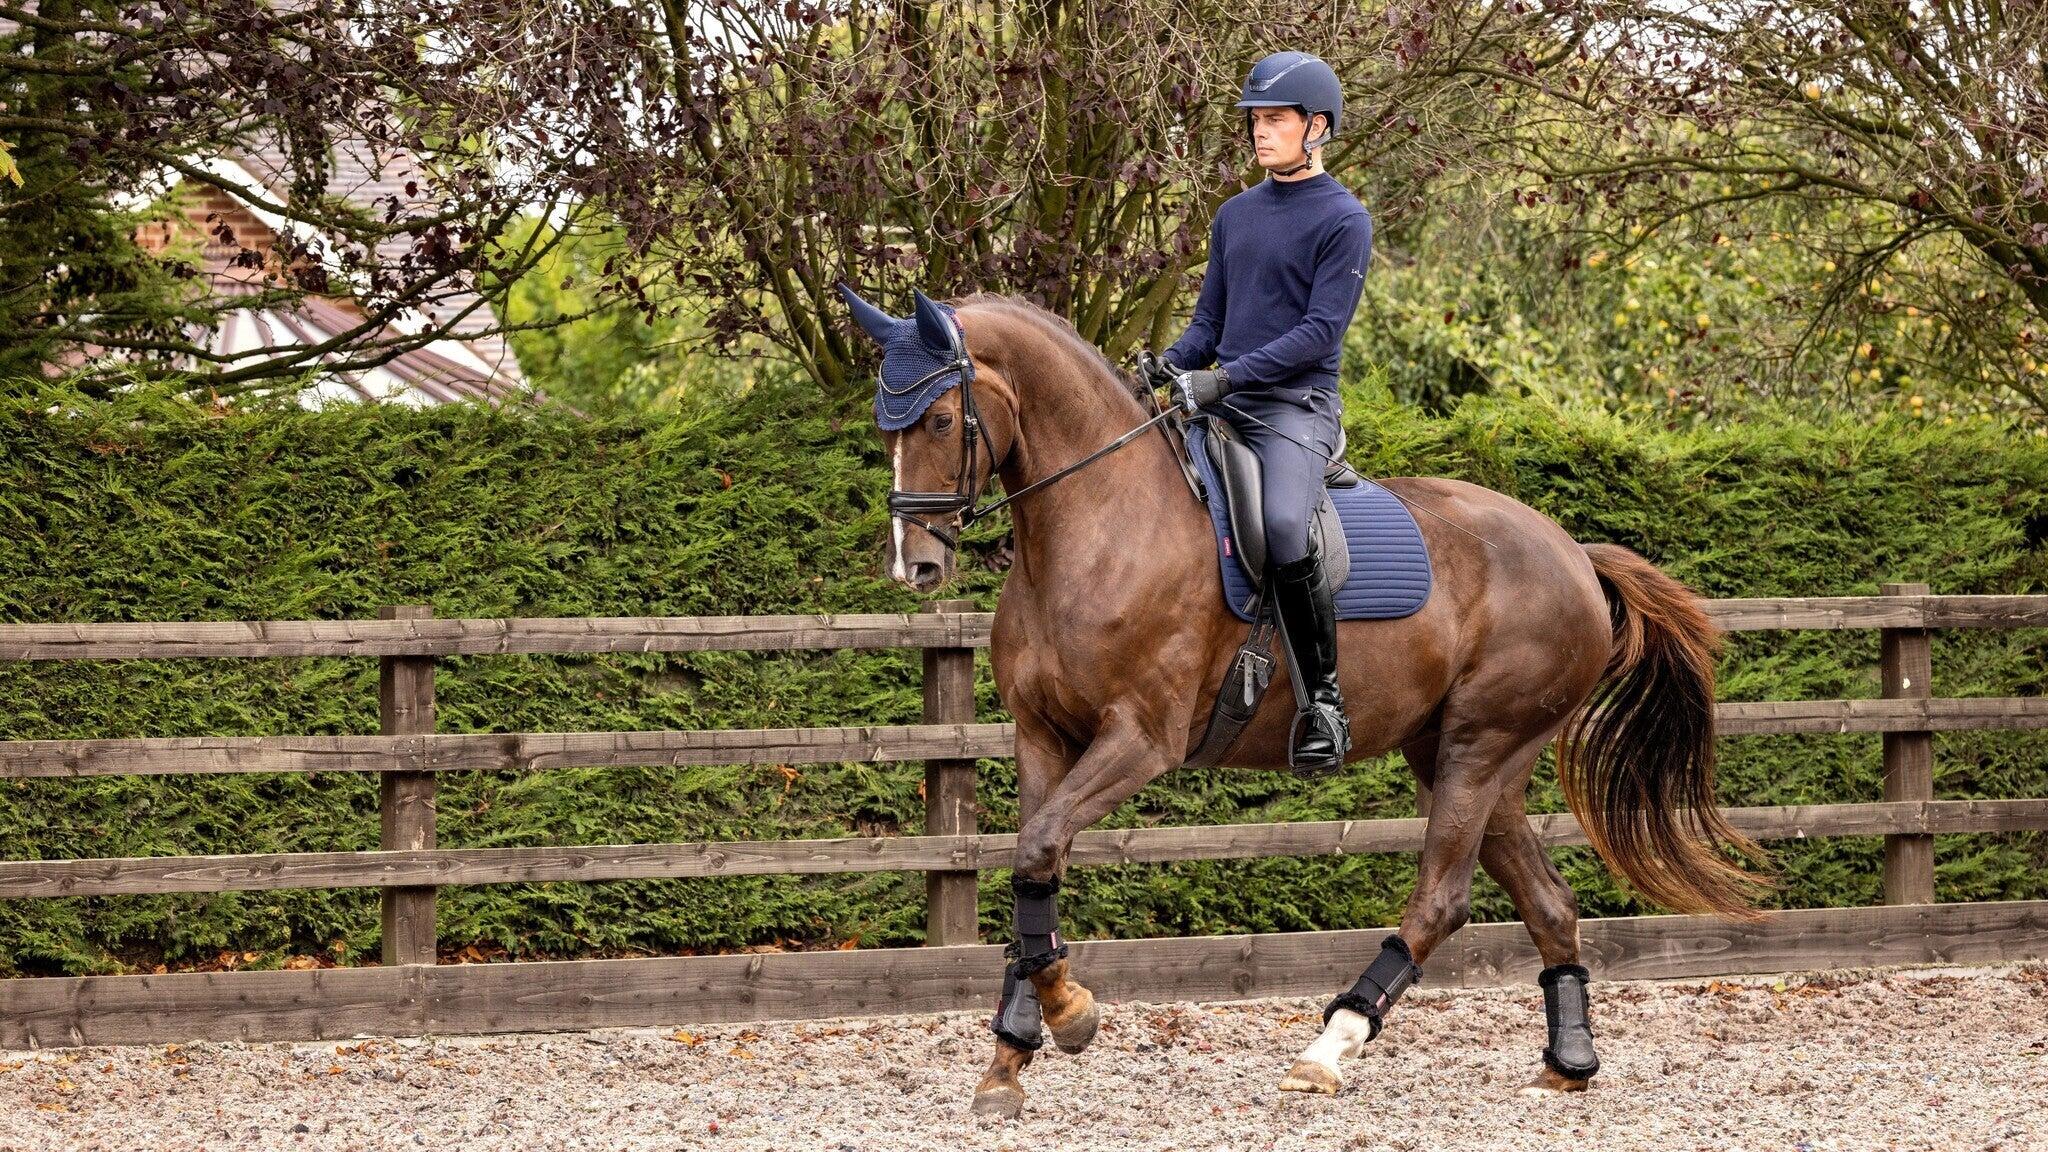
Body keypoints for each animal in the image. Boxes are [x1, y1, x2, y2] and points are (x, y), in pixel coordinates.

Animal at [839, 284, 1773, 1119]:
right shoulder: (1042, 736)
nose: (916, 566)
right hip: (1464, 758)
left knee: (1442, 899)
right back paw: (1568, 1063)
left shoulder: (1138, 739)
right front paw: (1011, 1057)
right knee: (1545, 900)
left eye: (939, 420)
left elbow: (1038, 849)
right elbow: (1034, 866)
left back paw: (1329, 1049)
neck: (1099, 523)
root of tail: (1573, 554)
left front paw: (1068, 1015)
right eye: (886, 426)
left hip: (1481, 747)